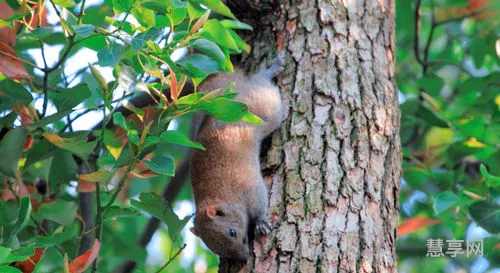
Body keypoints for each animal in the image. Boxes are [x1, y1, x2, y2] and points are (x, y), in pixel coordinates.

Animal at [190, 56, 286, 260]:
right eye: (213, 248)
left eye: (232, 232)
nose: (244, 258)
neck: (226, 196)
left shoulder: (249, 188)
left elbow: (260, 203)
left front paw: (261, 222)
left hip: (263, 109)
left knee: (262, 85)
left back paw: (271, 69)